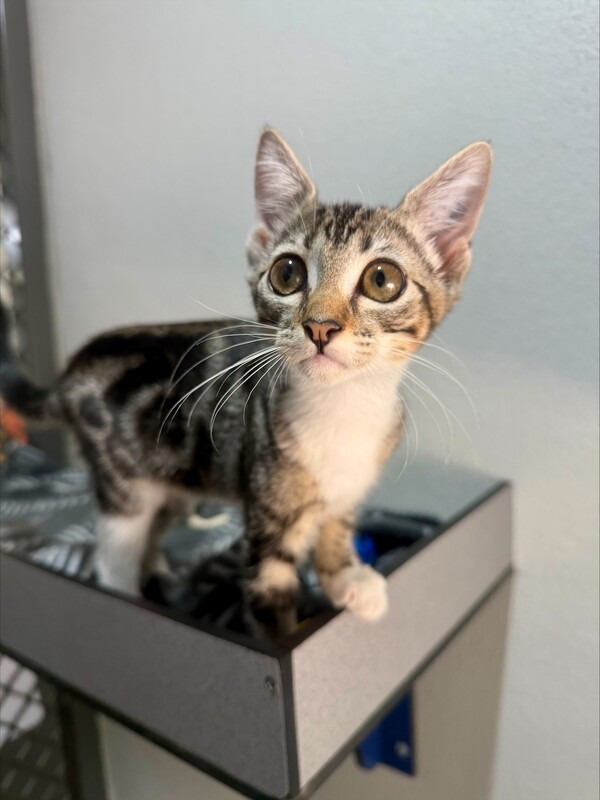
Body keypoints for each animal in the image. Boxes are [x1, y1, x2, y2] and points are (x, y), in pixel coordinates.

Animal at [0, 128, 492, 635]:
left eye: (382, 279)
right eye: (287, 273)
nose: (320, 326)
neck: (342, 408)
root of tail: (72, 368)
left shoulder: (348, 492)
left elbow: (336, 531)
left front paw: (346, 578)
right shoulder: (266, 516)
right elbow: (273, 606)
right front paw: (289, 631)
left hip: (171, 475)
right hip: (124, 489)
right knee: (113, 558)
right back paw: (131, 597)